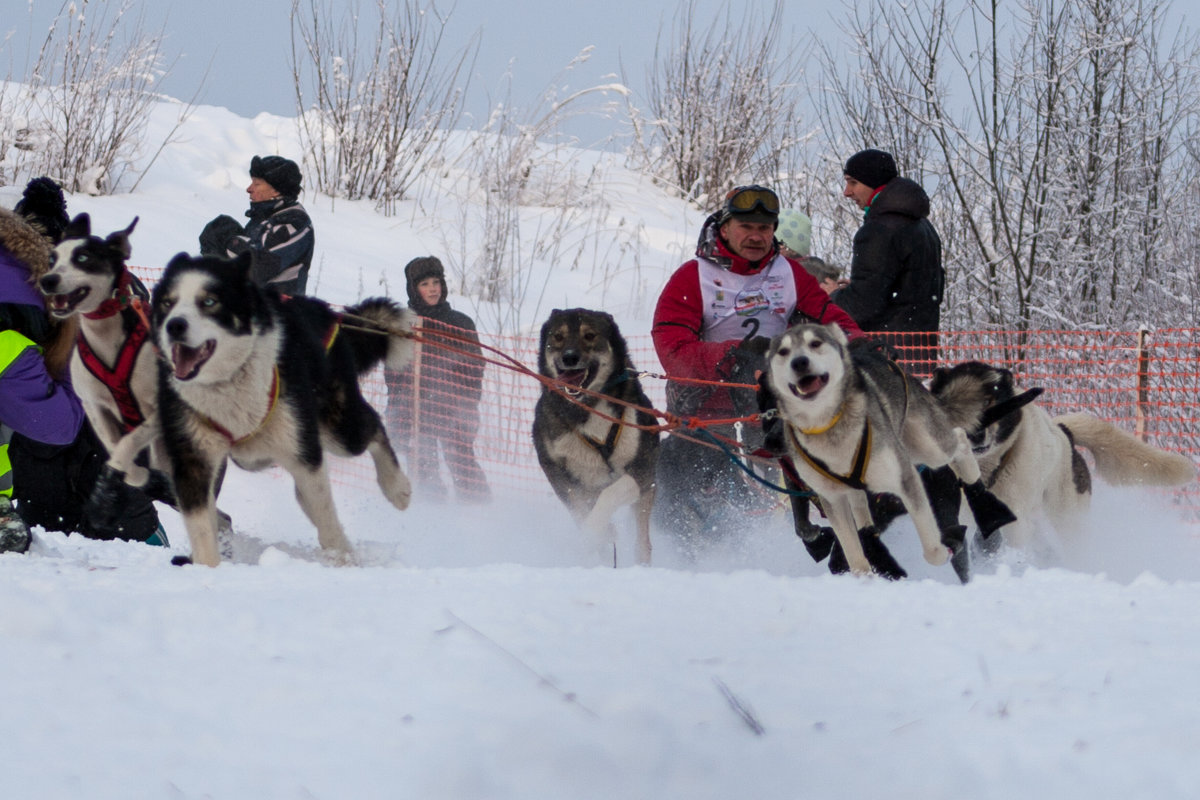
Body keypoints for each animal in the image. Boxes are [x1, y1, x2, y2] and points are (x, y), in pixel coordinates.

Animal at [150, 253, 417, 566]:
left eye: (209, 301)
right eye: (167, 303)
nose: (174, 325)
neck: (228, 381)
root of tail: (323, 311)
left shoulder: (304, 454)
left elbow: (326, 517)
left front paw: (342, 560)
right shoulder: (192, 461)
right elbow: (202, 526)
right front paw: (207, 567)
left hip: (338, 429)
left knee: (373, 427)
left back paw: (397, 488)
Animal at [535, 307, 662, 563]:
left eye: (590, 335)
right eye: (558, 336)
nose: (569, 357)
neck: (589, 407)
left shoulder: (642, 471)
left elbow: (608, 497)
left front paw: (592, 534)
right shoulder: (557, 472)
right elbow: (579, 509)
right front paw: (598, 536)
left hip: (645, 495)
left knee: (642, 542)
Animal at [763, 323, 1017, 582]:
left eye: (815, 343)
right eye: (783, 351)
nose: (799, 362)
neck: (829, 426)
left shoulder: (906, 480)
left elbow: (934, 550)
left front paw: (947, 547)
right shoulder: (832, 498)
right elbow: (853, 556)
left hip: (929, 447)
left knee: (960, 440)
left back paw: (984, 504)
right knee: (861, 513)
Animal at [926, 362, 1190, 551]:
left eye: (991, 403)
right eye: (955, 408)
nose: (975, 434)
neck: (983, 470)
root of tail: (1065, 432)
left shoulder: (1015, 518)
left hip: (1066, 517)